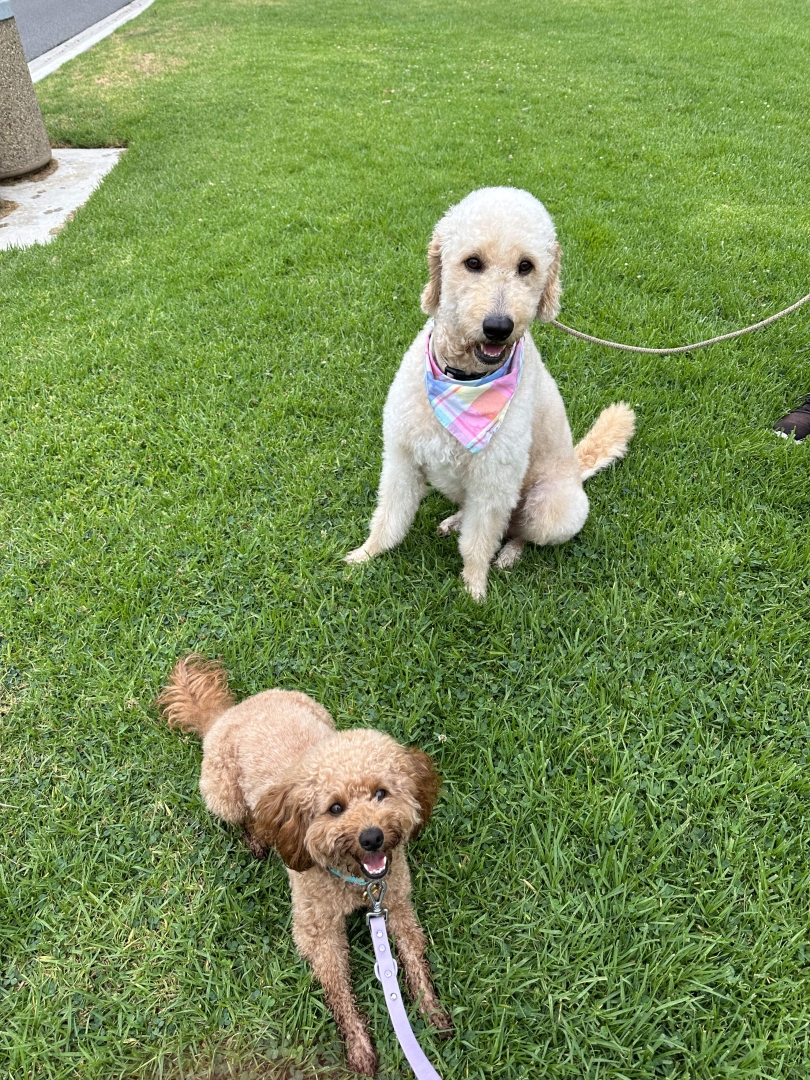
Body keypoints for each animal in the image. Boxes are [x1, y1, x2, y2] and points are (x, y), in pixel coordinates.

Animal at [158, 652, 451, 1075]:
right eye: (335, 808)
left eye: (381, 793)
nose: (372, 837)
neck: (356, 884)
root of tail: (224, 714)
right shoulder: (317, 929)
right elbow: (337, 986)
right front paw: (359, 1046)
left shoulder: (396, 902)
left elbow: (413, 957)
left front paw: (430, 1010)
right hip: (221, 794)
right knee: (243, 816)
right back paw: (257, 838)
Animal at [345, 189, 639, 604]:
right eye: (473, 262)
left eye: (526, 266)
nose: (498, 327)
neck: (464, 378)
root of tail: (576, 469)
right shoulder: (402, 460)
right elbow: (389, 518)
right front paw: (366, 555)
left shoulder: (494, 482)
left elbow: (479, 542)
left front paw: (474, 588)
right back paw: (455, 520)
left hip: (551, 507)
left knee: (520, 532)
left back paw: (509, 555)